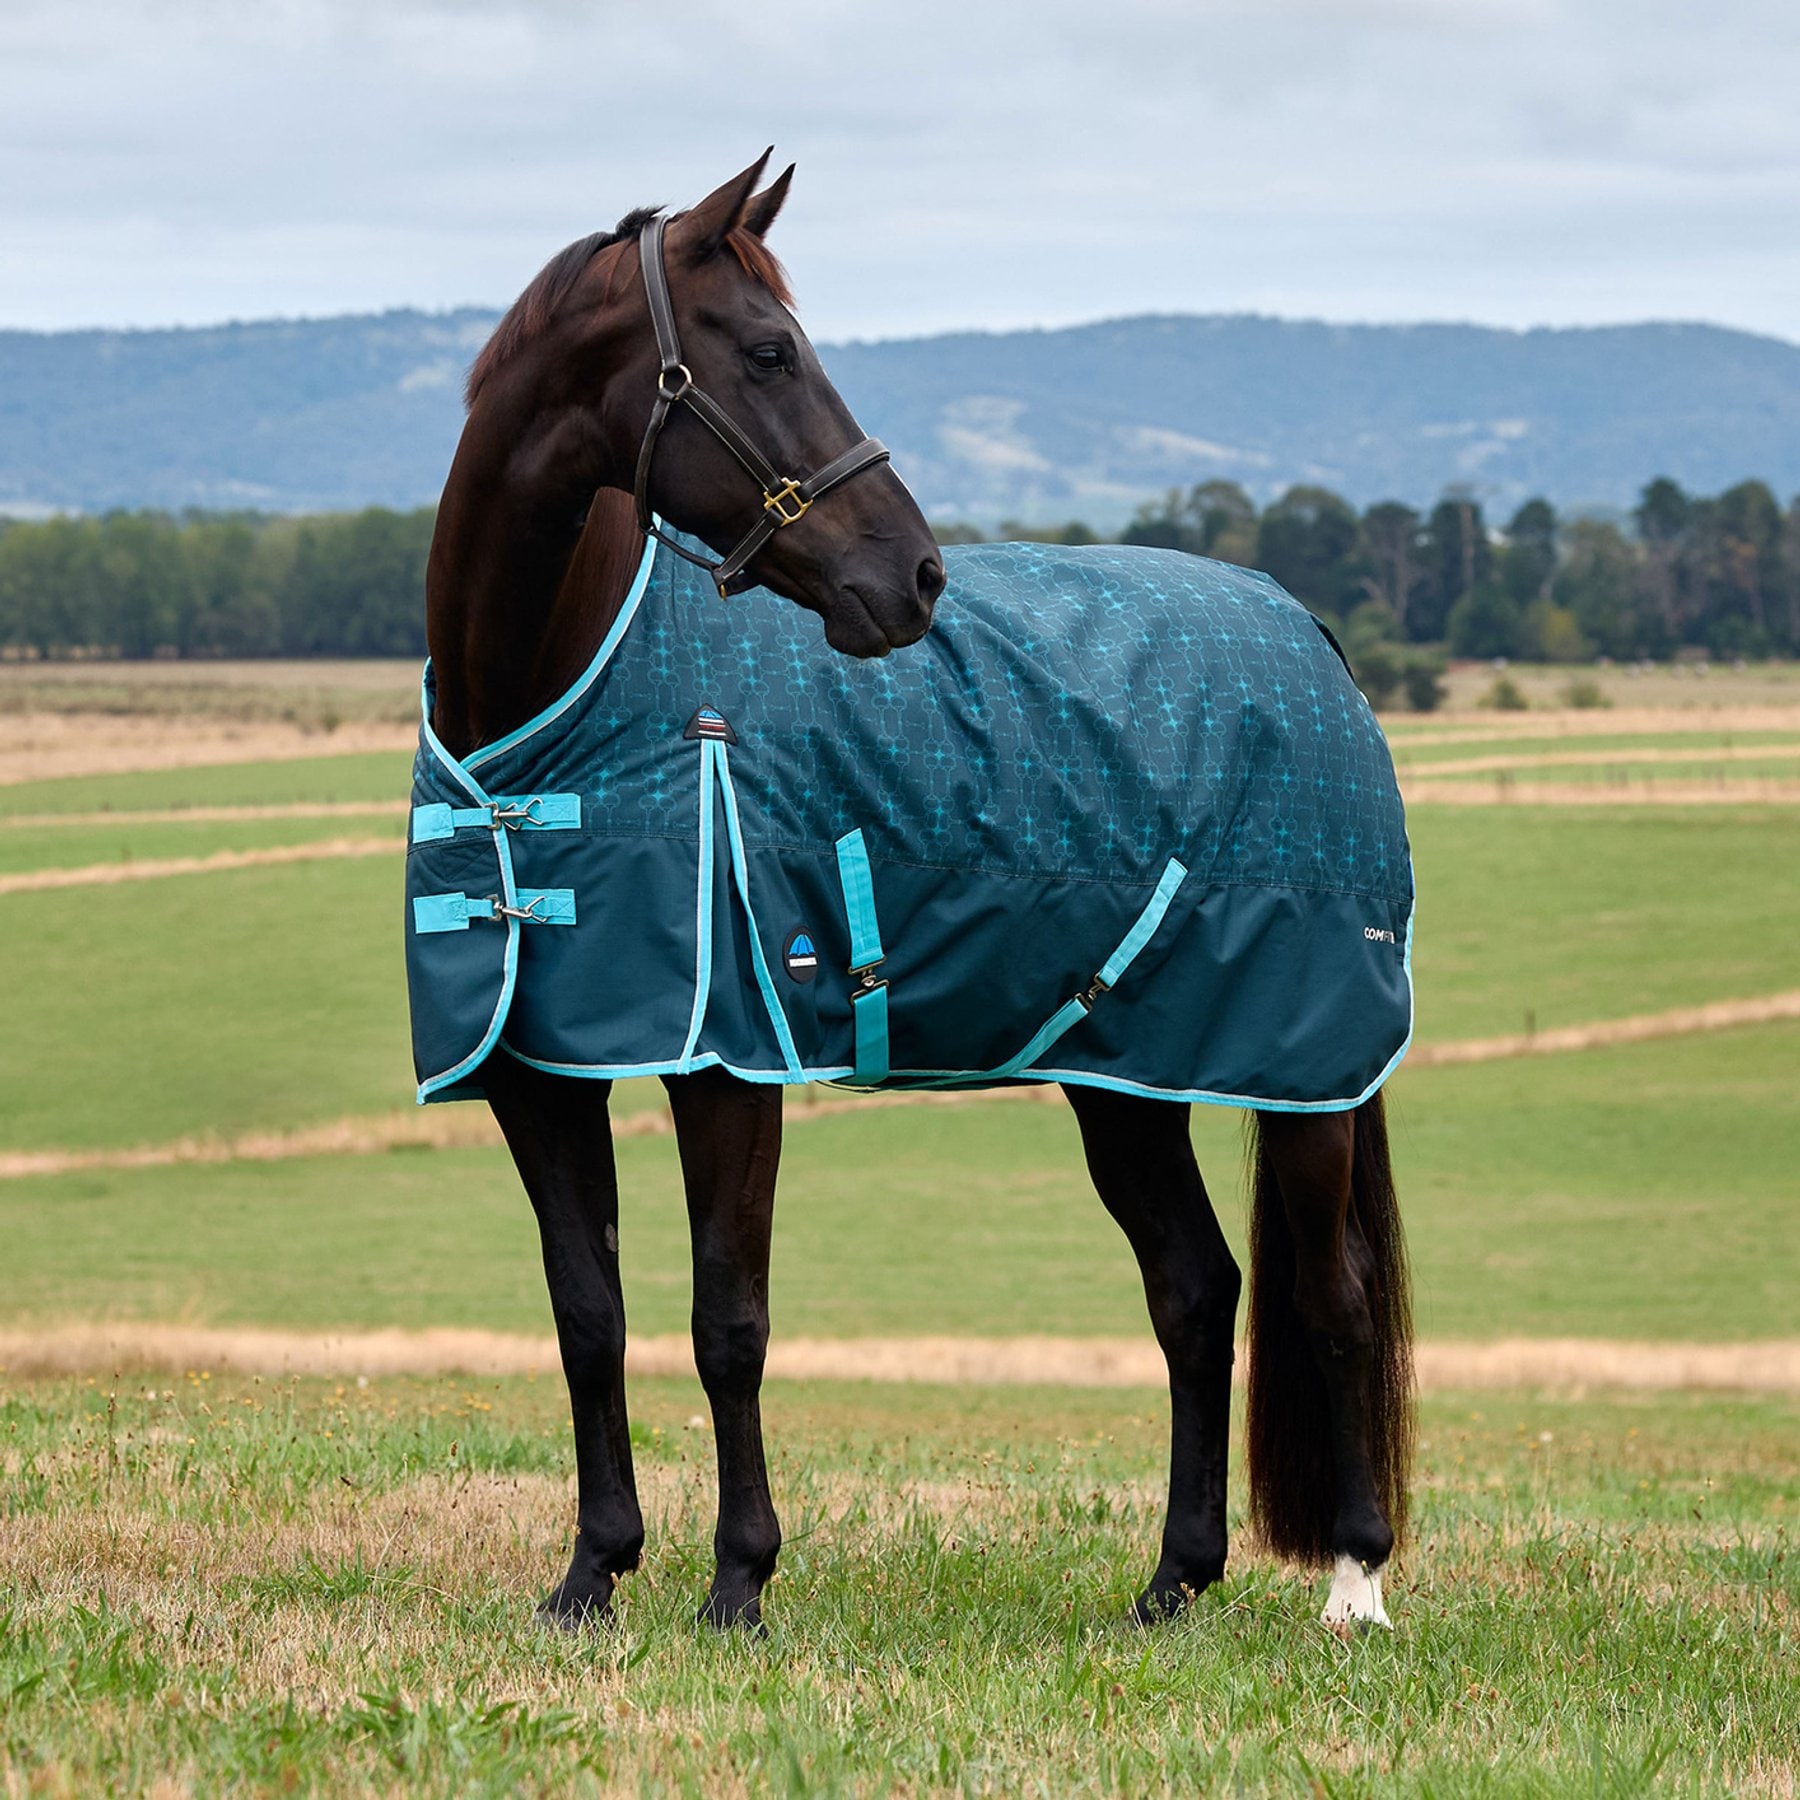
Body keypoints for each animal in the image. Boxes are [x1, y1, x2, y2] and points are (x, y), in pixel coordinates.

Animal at [414, 152, 1414, 1634]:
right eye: (768, 350)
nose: (917, 576)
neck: (547, 714)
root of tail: (1311, 638)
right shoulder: (540, 1070)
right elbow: (588, 1316)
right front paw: (593, 1574)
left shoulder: (730, 1063)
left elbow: (730, 1323)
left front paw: (739, 1585)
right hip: (1125, 1074)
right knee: (1195, 1290)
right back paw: (1172, 1582)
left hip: (1304, 1077)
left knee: (1333, 1295)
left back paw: (1354, 1584)